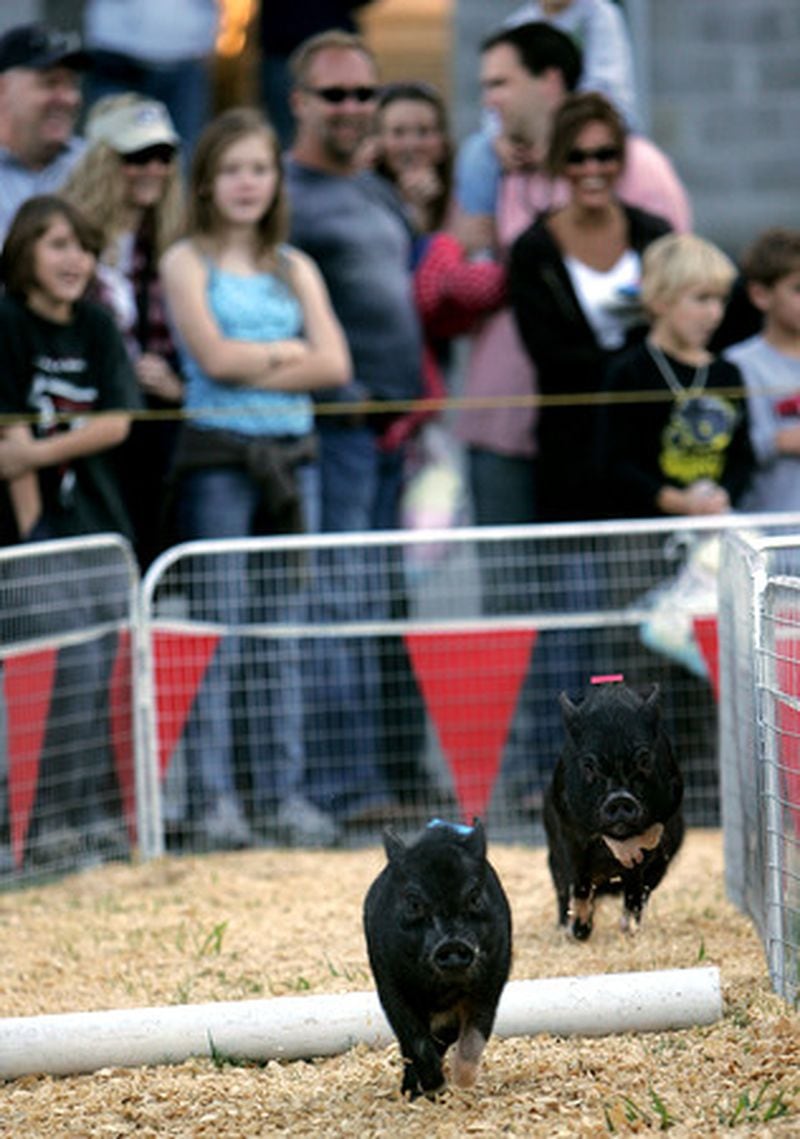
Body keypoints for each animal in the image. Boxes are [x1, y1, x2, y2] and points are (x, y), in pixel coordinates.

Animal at [364, 824, 515, 1097]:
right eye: (414, 903)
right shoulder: (389, 984)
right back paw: (411, 1091)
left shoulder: (491, 982)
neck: (443, 990)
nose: (452, 944)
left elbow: (476, 1034)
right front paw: (435, 1088)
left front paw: (462, 1083)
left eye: (475, 897)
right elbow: (414, 1040)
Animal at [549, 678, 688, 938]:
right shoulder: (569, 832)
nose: (620, 799)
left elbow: (635, 882)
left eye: (644, 760)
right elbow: (579, 881)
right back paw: (567, 929)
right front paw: (579, 931)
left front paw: (630, 929)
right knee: (564, 890)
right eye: (589, 765)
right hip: (552, 862)